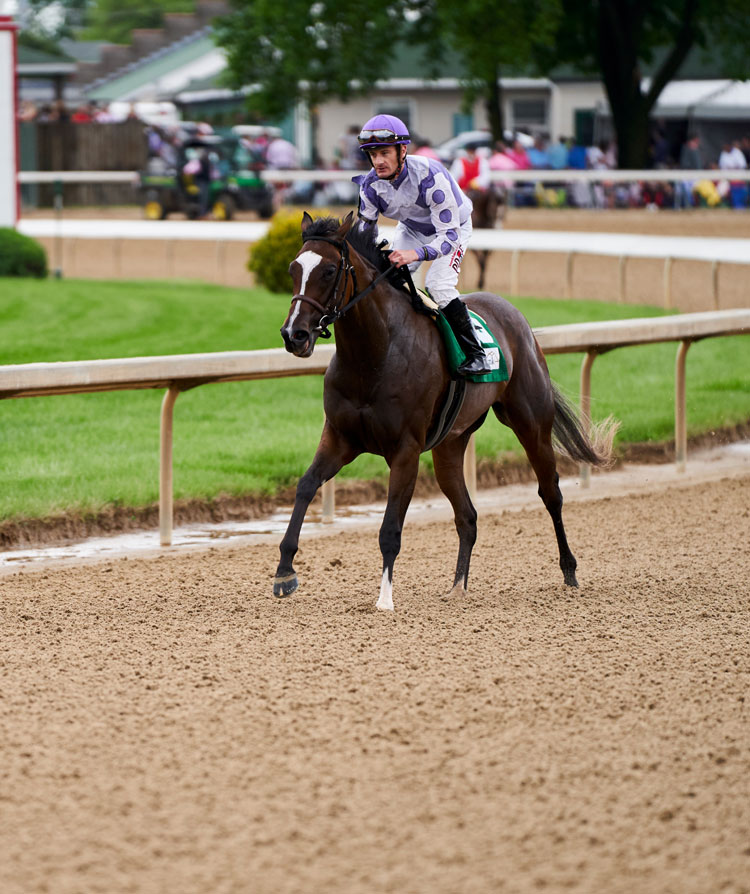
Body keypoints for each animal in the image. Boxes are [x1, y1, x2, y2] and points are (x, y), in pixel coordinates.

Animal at [276, 211, 616, 611]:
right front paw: (284, 571)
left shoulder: (405, 450)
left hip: (531, 424)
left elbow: (390, 528)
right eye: (292, 268)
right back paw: (458, 586)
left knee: (551, 494)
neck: (374, 355)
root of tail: (517, 317)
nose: (294, 335)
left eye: (329, 270)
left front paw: (385, 598)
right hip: (449, 445)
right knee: (467, 515)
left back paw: (569, 571)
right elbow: (305, 486)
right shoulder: (340, 438)